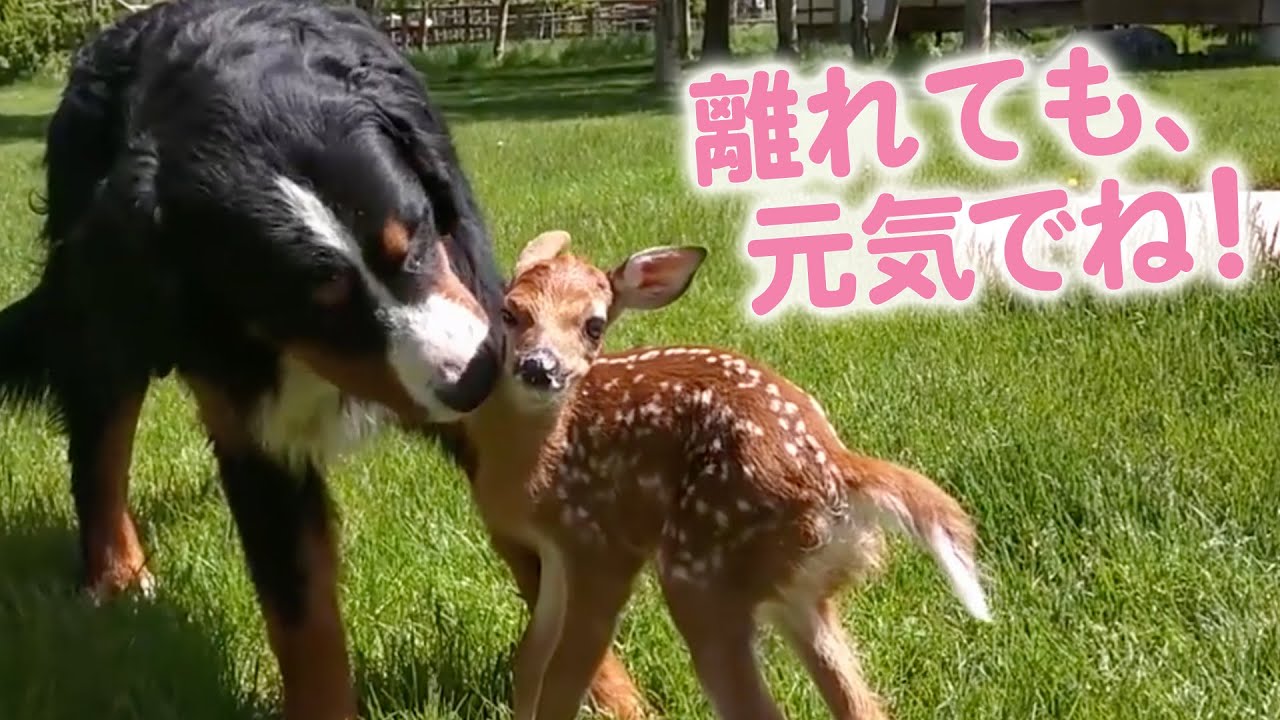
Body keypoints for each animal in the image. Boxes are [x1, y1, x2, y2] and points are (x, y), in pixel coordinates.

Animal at [459, 230, 994, 720]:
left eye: (594, 325)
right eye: (510, 312)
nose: (538, 367)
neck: (538, 464)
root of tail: (837, 468)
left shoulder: (601, 545)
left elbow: (564, 677)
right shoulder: (553, 553)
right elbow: (530, 660)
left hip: (703, 568)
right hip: (801, 591)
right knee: (860, 703)